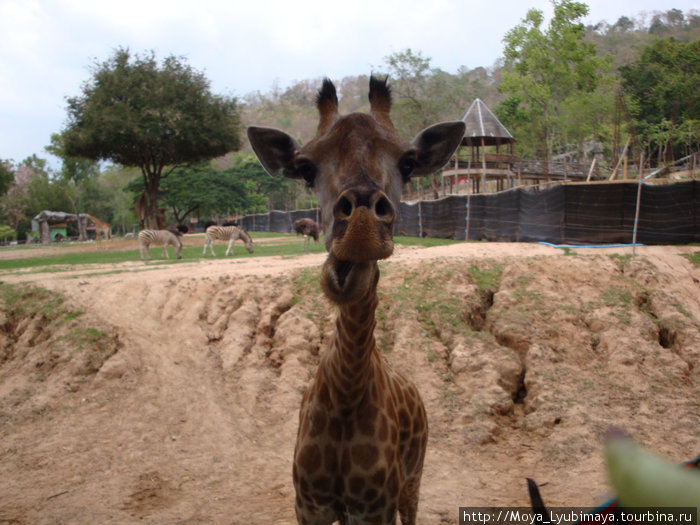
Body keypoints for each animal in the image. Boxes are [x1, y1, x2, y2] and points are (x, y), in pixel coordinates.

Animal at [249, 75, 468, 520]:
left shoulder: (374, 507)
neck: (347, 392)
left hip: (412, 480)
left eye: (408, 163)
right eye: (305, 168)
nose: (362, 229)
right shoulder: (309, 506)